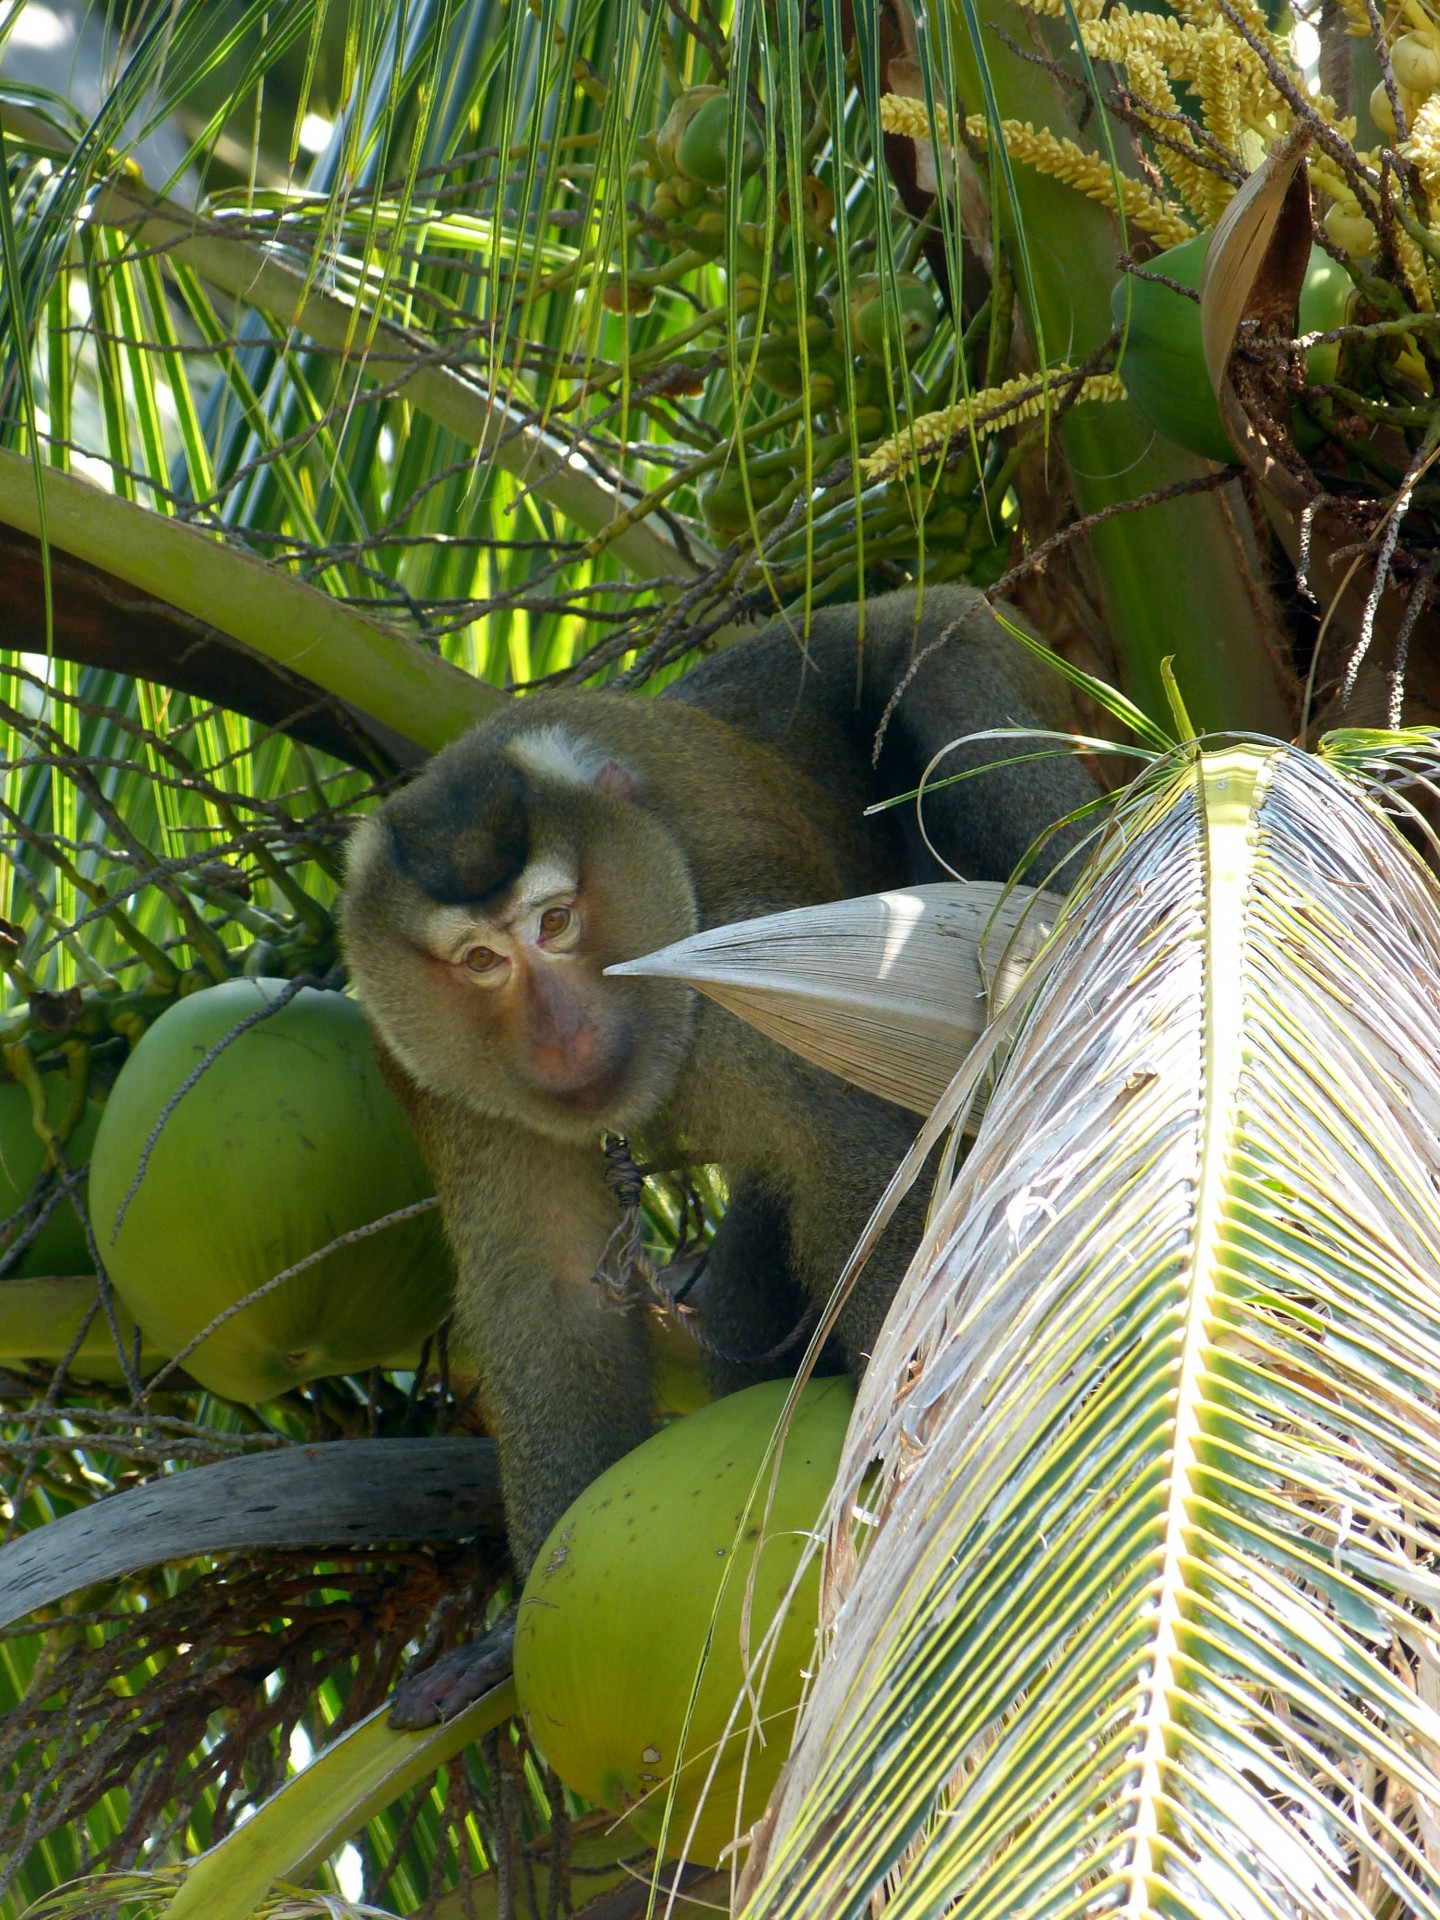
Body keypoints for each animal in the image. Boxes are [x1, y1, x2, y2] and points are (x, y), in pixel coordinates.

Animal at [341, 587, 1105, 1728]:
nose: (561, 1031)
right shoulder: (438, 1078)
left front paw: (899, 1473)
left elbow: (861, 1176)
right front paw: (506, 1639)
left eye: (555, 923)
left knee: (942, 671)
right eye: (481, 961)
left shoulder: (738, 953)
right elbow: (548, 1295)